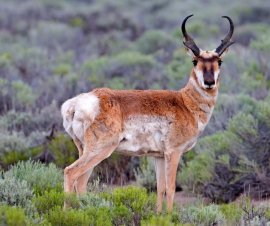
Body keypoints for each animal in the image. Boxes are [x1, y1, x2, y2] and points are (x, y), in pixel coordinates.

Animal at [61, 14, 234, 212]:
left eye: (219, 61)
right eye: (195, 61)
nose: (209, 82)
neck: (185, 102)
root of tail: (76, 103)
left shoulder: (158, 156)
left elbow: (160, 188)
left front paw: (159, 214)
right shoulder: (174, 153)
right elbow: (171, 188)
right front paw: (170, 215)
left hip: (85, 150)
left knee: (80, 182)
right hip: (100, 150)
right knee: (71, 172)